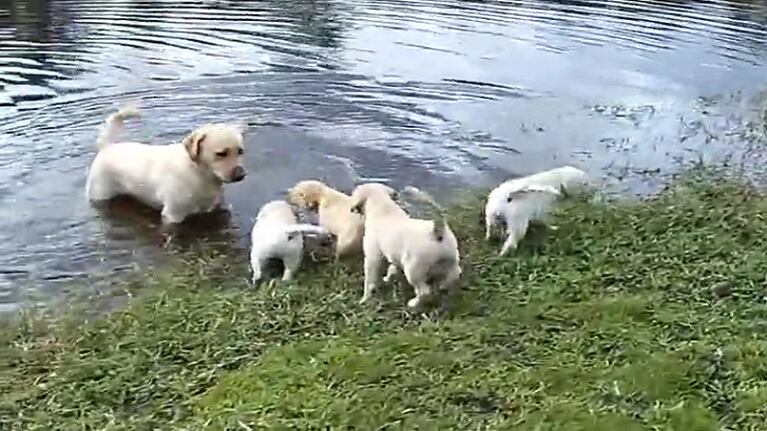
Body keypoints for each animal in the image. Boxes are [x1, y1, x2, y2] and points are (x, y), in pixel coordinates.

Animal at [88, 104, 249, 224]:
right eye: (221, 153)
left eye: (240, 151)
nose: (241, 174)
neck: (198, 174)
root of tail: (107, 146)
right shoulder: (173, 215)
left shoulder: (213, 207)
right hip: (101, 193)